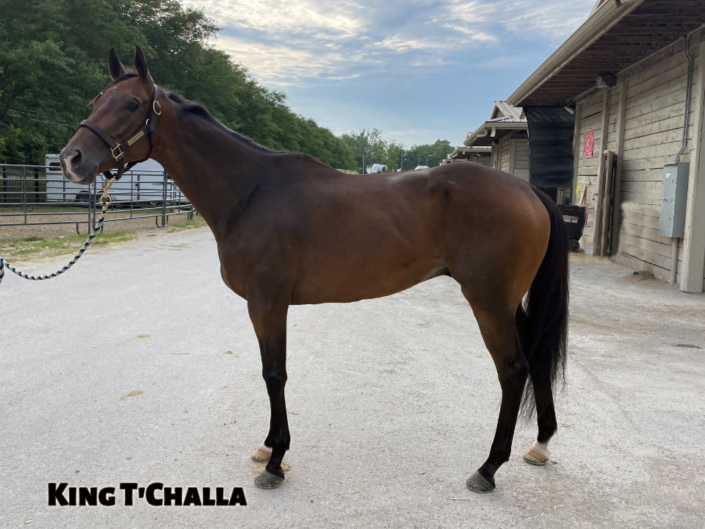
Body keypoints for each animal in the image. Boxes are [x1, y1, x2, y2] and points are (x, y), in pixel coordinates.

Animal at [59, 47, 568, 493]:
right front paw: (268, 449)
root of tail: (528, 192)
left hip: (489, 300)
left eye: (131, 103)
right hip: (509, 302)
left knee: (512, 370)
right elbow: (270, 371)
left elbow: (274, 374)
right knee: (536, 356)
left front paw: (275, 463)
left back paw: (488, 469)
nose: (71, 159)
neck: (251, 192)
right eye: (95, 100)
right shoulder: (267, 303)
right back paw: (540, 445)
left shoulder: (267, 302)